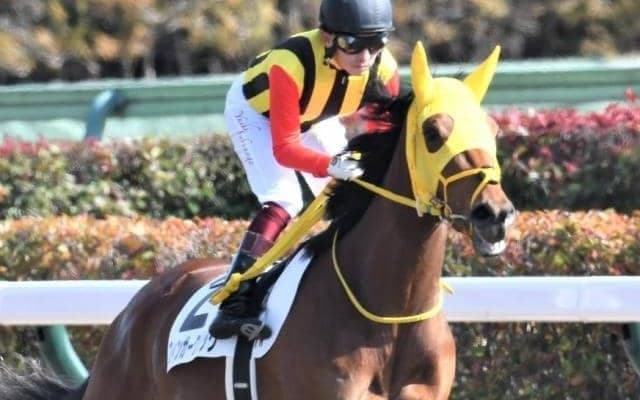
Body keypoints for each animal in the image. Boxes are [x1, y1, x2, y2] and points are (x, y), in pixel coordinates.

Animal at [1, 42, 515, 400]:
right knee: (280, 200)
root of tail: (130, 315)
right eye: (433, 132)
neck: (392, 312)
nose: (496, 213)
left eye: (492, 130)